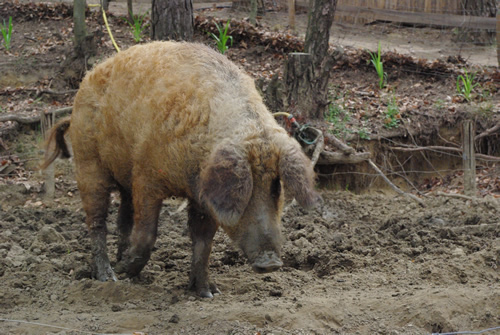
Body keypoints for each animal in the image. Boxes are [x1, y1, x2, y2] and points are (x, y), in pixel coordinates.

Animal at [45, 41, 322, 300]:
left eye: (276, 185)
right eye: (245, 188)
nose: (271, 262)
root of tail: (85, 82)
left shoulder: (204, 197)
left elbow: (203, 243)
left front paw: (208, 293)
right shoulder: (146, 176)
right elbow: (147, 234)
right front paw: (125, 274)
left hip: (124, 178)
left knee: (124, 217)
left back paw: (121, 262)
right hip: (88, 162)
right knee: (97, 220)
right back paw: (109, 276)